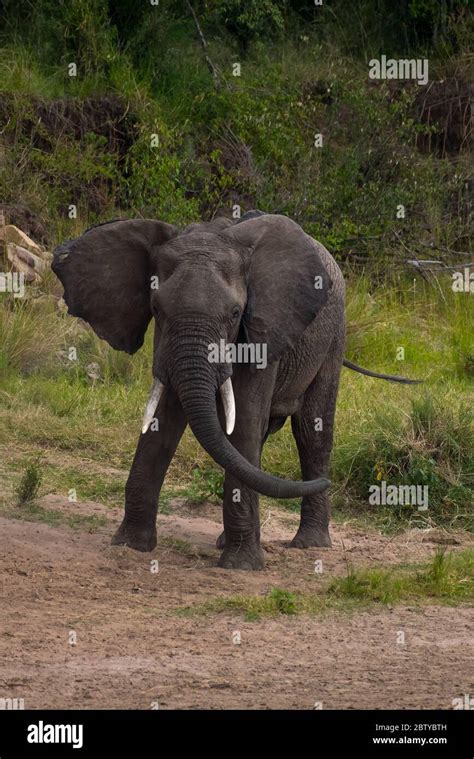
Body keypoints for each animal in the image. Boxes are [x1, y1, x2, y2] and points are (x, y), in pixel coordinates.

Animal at [52, 211, 418, 568]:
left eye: (235, 313)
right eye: (156, 309)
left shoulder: (263, 331)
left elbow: (243, 423)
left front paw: (241, 565)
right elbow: (162, 423)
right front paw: (131, 545)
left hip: (333, 337)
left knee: (311, 432)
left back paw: (309, 544)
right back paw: (228, 540)